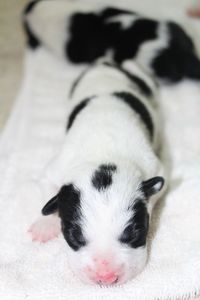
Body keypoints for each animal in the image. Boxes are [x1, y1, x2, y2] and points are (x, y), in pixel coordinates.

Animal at [28, 62, 166, 284]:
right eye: (75, 236)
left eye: (134, 233)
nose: (106, 277)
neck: (103, 154)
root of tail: (106, 63)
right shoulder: (55, 168)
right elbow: (48, 189)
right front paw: (44, 225)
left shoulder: (155, 166)